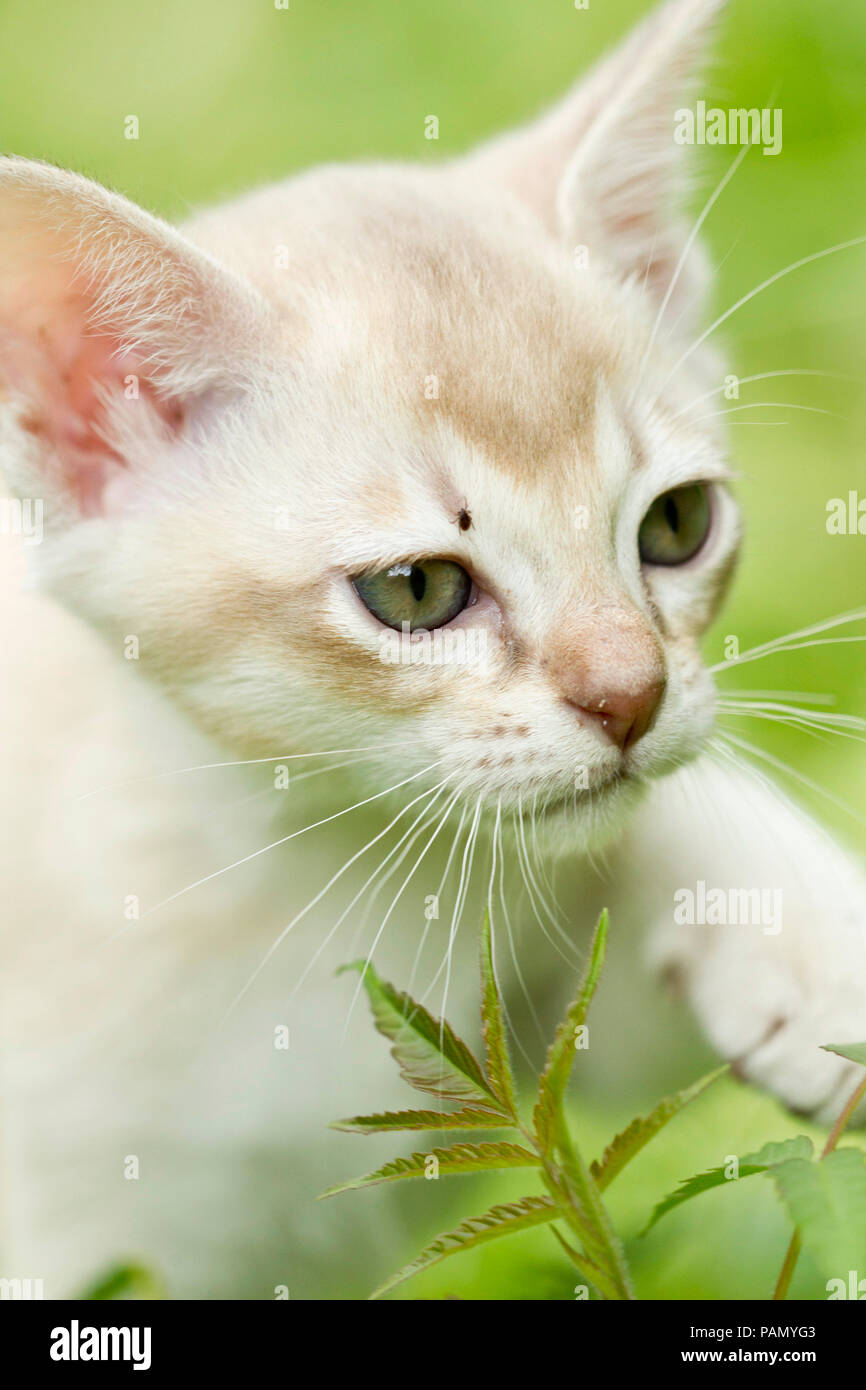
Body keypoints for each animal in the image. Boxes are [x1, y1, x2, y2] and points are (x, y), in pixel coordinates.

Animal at [1, 0, 866, 1301]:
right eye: (415, 590)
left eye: (675, 525)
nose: (630, 696)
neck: (305, 867)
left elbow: (637, 819)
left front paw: (815, 945)